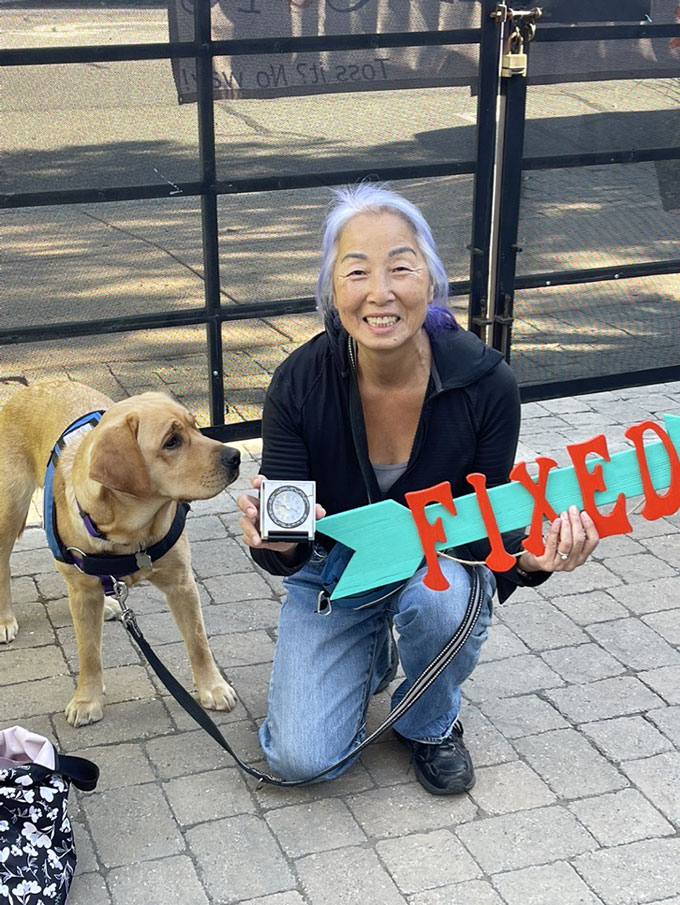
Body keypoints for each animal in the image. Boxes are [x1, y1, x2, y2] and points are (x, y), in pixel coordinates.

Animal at [0, 380, 240, 728]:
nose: (235, 456)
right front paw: (86, 700)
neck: (130, 534)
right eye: (171, 442)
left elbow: (198, 641)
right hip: (10, 510)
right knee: (4, 566)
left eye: (196, 426)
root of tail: (36, 385)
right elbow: (89, 653)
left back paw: (110, 603)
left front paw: (213, 687)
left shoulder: (181, 583)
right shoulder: (83, 593)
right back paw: (5, 619)